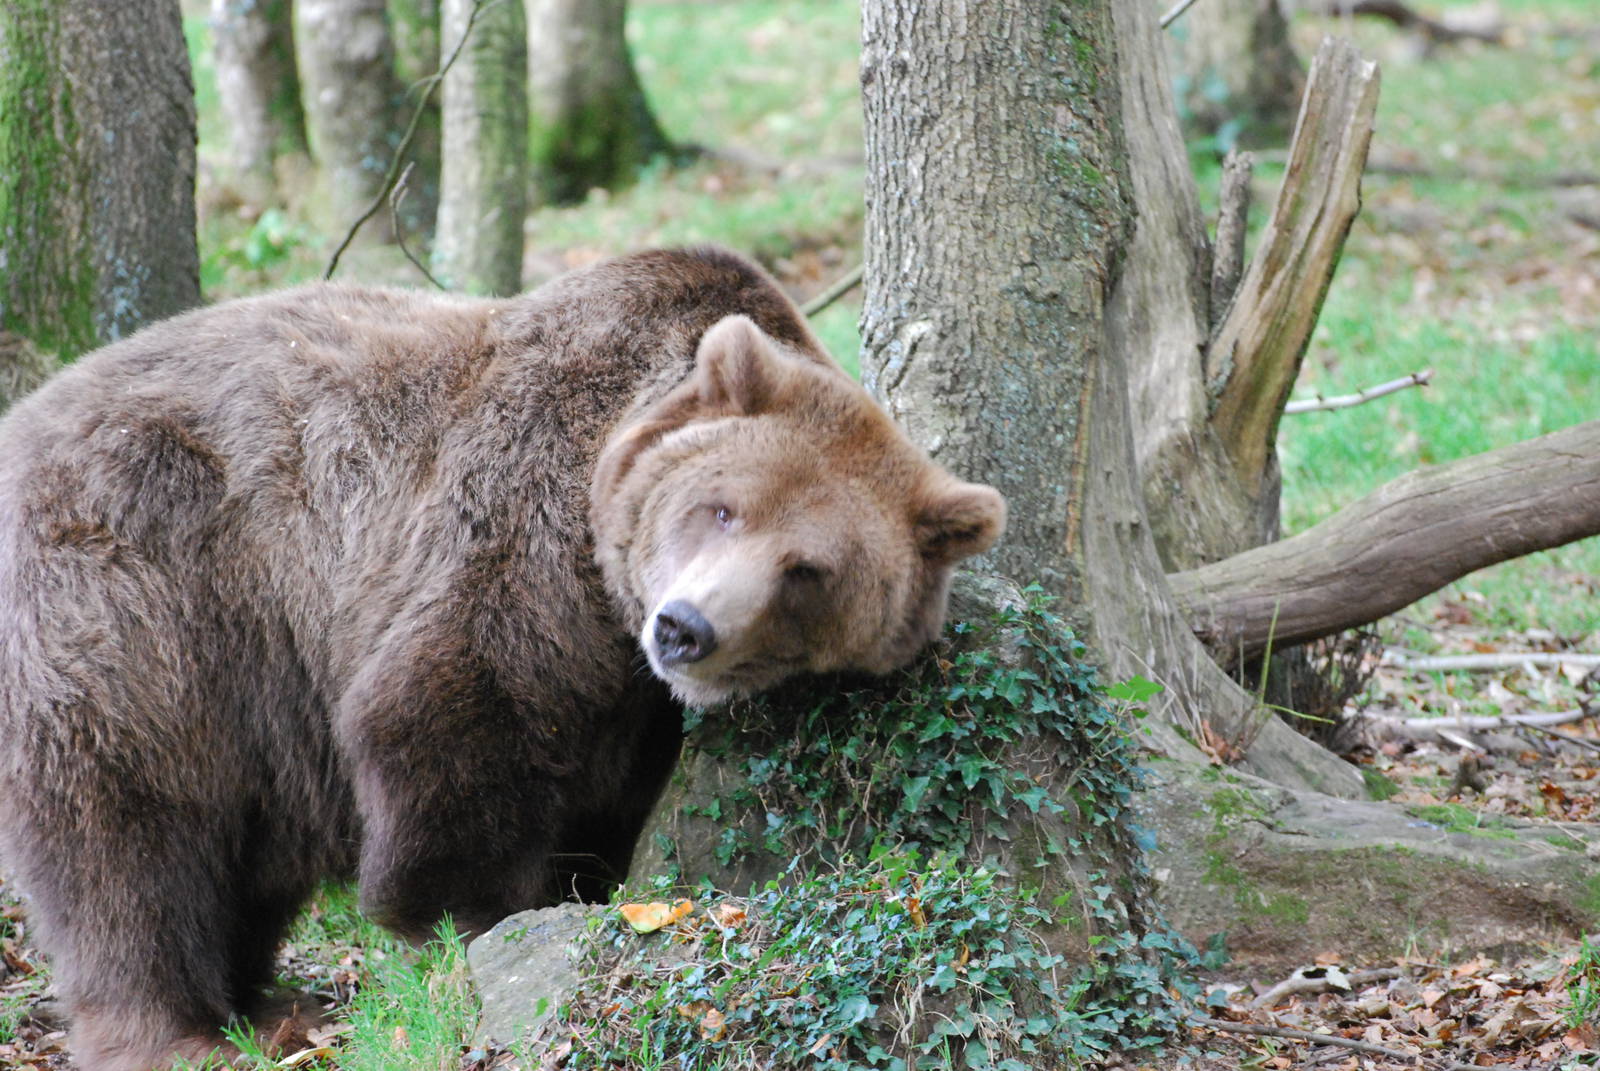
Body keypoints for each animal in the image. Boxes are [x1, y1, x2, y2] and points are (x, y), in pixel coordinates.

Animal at [0, 247, 1005, 1071]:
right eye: (721, 507)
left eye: (807, 571)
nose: (686, 628)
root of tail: (24, 425)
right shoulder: (521, 534)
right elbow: (455, 714)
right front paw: (479, 910)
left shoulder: (633, 697)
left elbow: (608, 791)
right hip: (136, 599)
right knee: (125, 835)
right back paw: (178, 1029)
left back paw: (264, 1002)